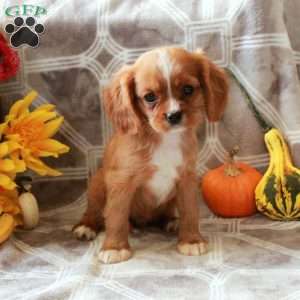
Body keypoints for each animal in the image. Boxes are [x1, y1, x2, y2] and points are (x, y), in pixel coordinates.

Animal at [72, 45, 227, 264]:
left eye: (188, 89)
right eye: (150, 97)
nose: (173, 115)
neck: (164, 139)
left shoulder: (186, 179)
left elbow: (190, 211)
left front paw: (191, 240)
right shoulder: (122, 182)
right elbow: (116, 216)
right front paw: (115, 248)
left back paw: (171, 221)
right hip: (96, 185)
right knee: (95, 211)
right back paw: (87, 226)